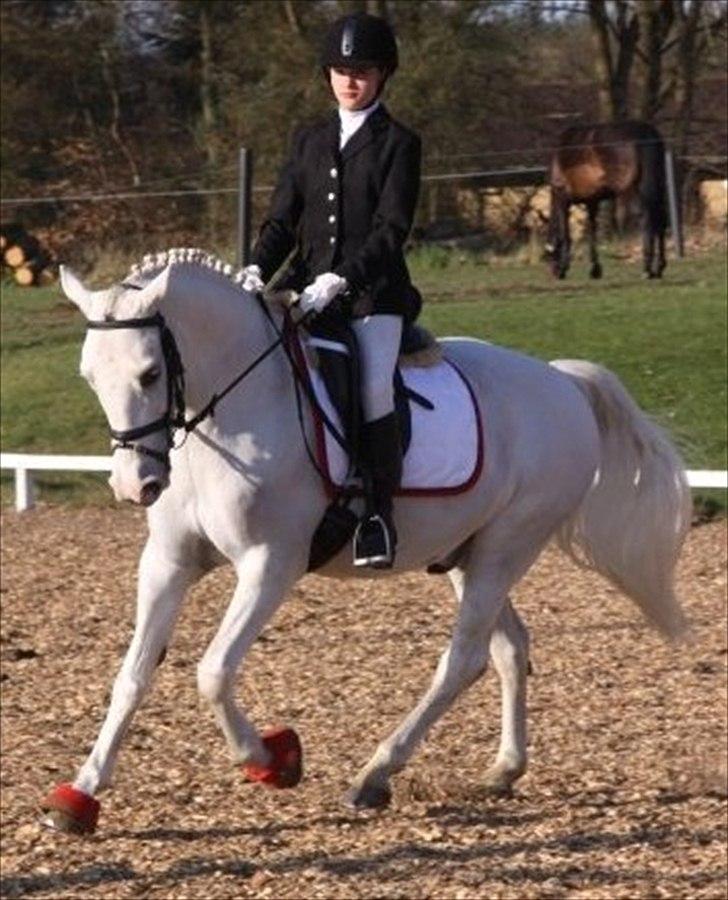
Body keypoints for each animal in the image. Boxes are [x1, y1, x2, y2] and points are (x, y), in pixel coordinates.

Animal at [41, 248, 691, 834]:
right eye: (89, 377)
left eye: (151, 373)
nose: (135, 485)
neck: (230, 414)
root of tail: (562, 382)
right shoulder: (168, 561)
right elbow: (133, 675)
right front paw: (80, 795)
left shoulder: (270, 565)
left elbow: (214, 672)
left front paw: (273, 760)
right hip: (469, 552)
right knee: (507, 649)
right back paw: (503, 768)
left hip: (508, 545)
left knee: (463, 659)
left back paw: (375, 775)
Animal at [545, 120, 669, 280]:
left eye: (549, 257)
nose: (553, 272)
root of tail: (646, 134)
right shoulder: (592, 202)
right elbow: (592, 230)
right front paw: (595, 268)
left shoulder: (562, 198)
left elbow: (565, 233)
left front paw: (564, 267)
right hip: (657, 189)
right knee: (661, 221)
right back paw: (659, 267)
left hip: (630, 190)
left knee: (645, 218)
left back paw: (647, 268)